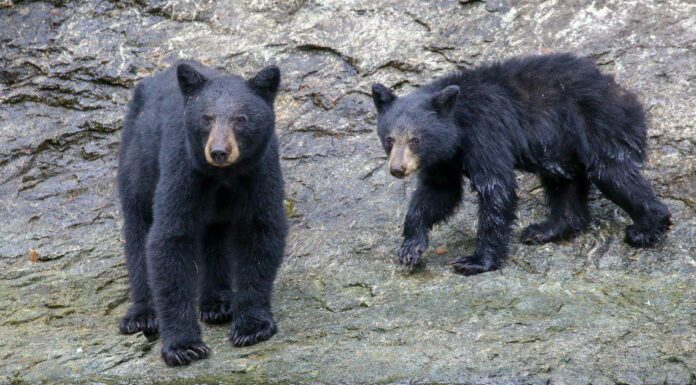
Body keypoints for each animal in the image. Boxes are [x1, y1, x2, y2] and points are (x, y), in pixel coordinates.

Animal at [118, 60, 286, 366]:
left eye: (241, 118)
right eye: (207, 118)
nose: (219, 151)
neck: (223, 175)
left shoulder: (260, 170)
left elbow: (261, 232)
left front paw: (252, 327)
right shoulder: (183, 168)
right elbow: (169, 239)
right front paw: (184, 346)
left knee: (214, 237)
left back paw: (217, 302)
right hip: (137, 158)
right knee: (138, 227)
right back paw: (141, 316)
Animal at [372, 54, 672, 274]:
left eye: (415, 139)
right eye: (389, 139)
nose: (397, 169)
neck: (458, 124)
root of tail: (629, 98)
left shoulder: (486, 131)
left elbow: (496, 187)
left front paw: (475, 261)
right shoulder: (444, 157)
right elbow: (439, 192)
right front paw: (411, 247)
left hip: (598, 128)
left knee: (614, 174)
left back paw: (646, 230)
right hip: (561, 148)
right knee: (563, 183)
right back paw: (546, 229)